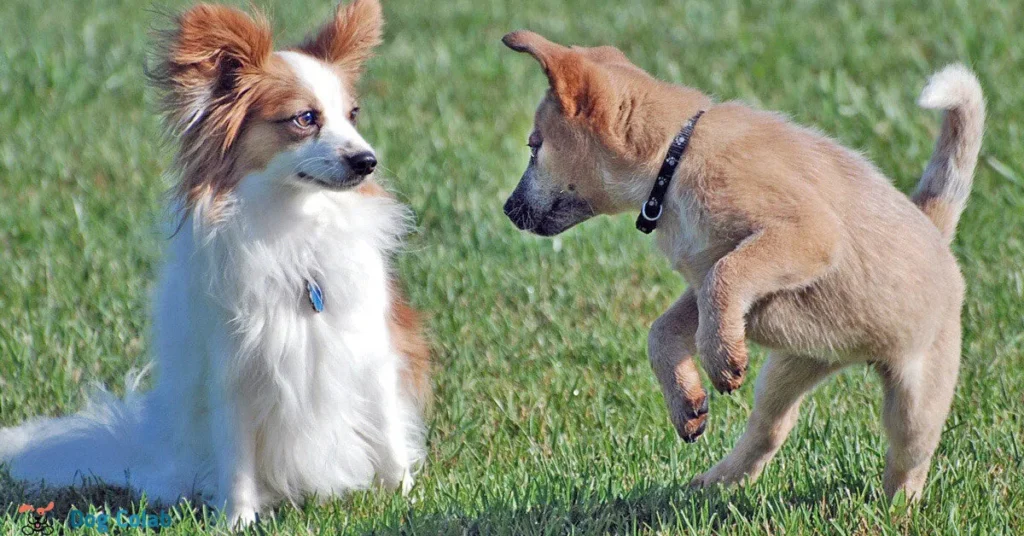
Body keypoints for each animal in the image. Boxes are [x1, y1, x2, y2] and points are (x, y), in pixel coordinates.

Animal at [0, 0, 428, 524]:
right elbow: (237, 461)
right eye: (305, 118)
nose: (367, 160)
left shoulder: (371, 355)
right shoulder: (233, 373)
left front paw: (405, 498)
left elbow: (388, 440)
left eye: (353, 115)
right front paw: (237, 521)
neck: (293, 224)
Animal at [501, 28, 983, 500]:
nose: (506, 209)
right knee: (770, 429)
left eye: (534, 146)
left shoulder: (807, 233)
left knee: (909, 461)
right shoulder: (701, 278)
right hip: (790, 368)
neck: (674, 159)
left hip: (916, 403)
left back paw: (894, 509)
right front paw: (688, 404)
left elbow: (727, 276)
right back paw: (713, 484)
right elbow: (665, 329)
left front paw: (720, 360)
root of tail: (934, 229)